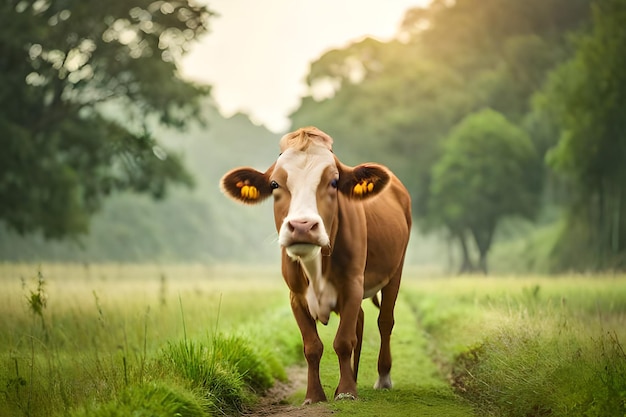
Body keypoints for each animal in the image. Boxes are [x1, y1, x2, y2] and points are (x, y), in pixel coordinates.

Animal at [219, 127, 410, 404]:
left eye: (334, 182)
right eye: (275, 184)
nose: (302, 226)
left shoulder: (353, 285)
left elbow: (344, 341)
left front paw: (346, 392)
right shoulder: (296, 296)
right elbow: (312, 347)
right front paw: (315, 394)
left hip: (396, 269)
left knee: (384, 321)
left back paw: (382, 378)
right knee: (361, 321)